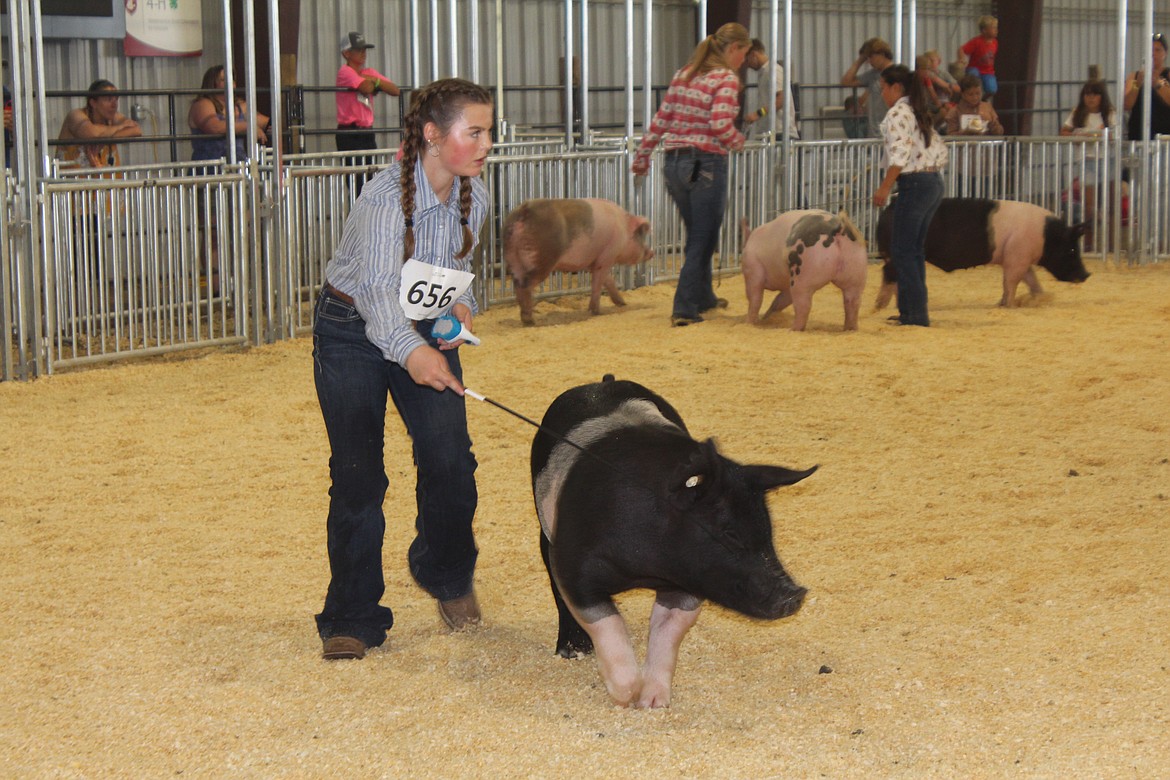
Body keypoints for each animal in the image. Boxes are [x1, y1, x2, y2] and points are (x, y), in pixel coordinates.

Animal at [505, 201, 659, 327]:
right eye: (640, 235)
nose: (652, 252)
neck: (624, 229)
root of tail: (524, 211)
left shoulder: (594, 262)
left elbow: (608, 280)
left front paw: (622, 303)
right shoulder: (607, 256)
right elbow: (598, 283)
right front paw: (596, 312)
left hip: (512, 258)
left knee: (517, 284)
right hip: (541, 259)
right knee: (525, 285)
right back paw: (530, 320)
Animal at [531, 374, 814, 711]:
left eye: (768, 530)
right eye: (728, 533)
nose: (795, 594)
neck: (647, 566)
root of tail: (604, 380)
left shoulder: (687, 584)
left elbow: (668, 632)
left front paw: (654, 702)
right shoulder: (575, 569)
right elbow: (607, 624)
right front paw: (628, 694)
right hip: (545, 533)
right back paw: (572, 650)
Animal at [739, 206, 870, 329]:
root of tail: (839, 228)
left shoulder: (753, 268)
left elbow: (755, 298)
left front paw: (750, 323)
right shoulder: (787, 284)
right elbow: (780, 300)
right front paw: (766, 318)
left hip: (802, 276)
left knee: (803, 305)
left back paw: (793, 329)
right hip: (856, 270)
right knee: (853, 301)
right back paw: (850, 329)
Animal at [879, 196, 1085, 308]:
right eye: (1072, 249)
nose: (1086, 274)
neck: (1046, 235)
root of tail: (889, 207)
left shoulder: (1018, 258)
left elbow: (1028, 280)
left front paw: (1036, 299)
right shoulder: (1017, 257)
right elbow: (1011, 282)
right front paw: (1010, 305)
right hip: (895, 254)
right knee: (889, 275)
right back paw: (881, 306)